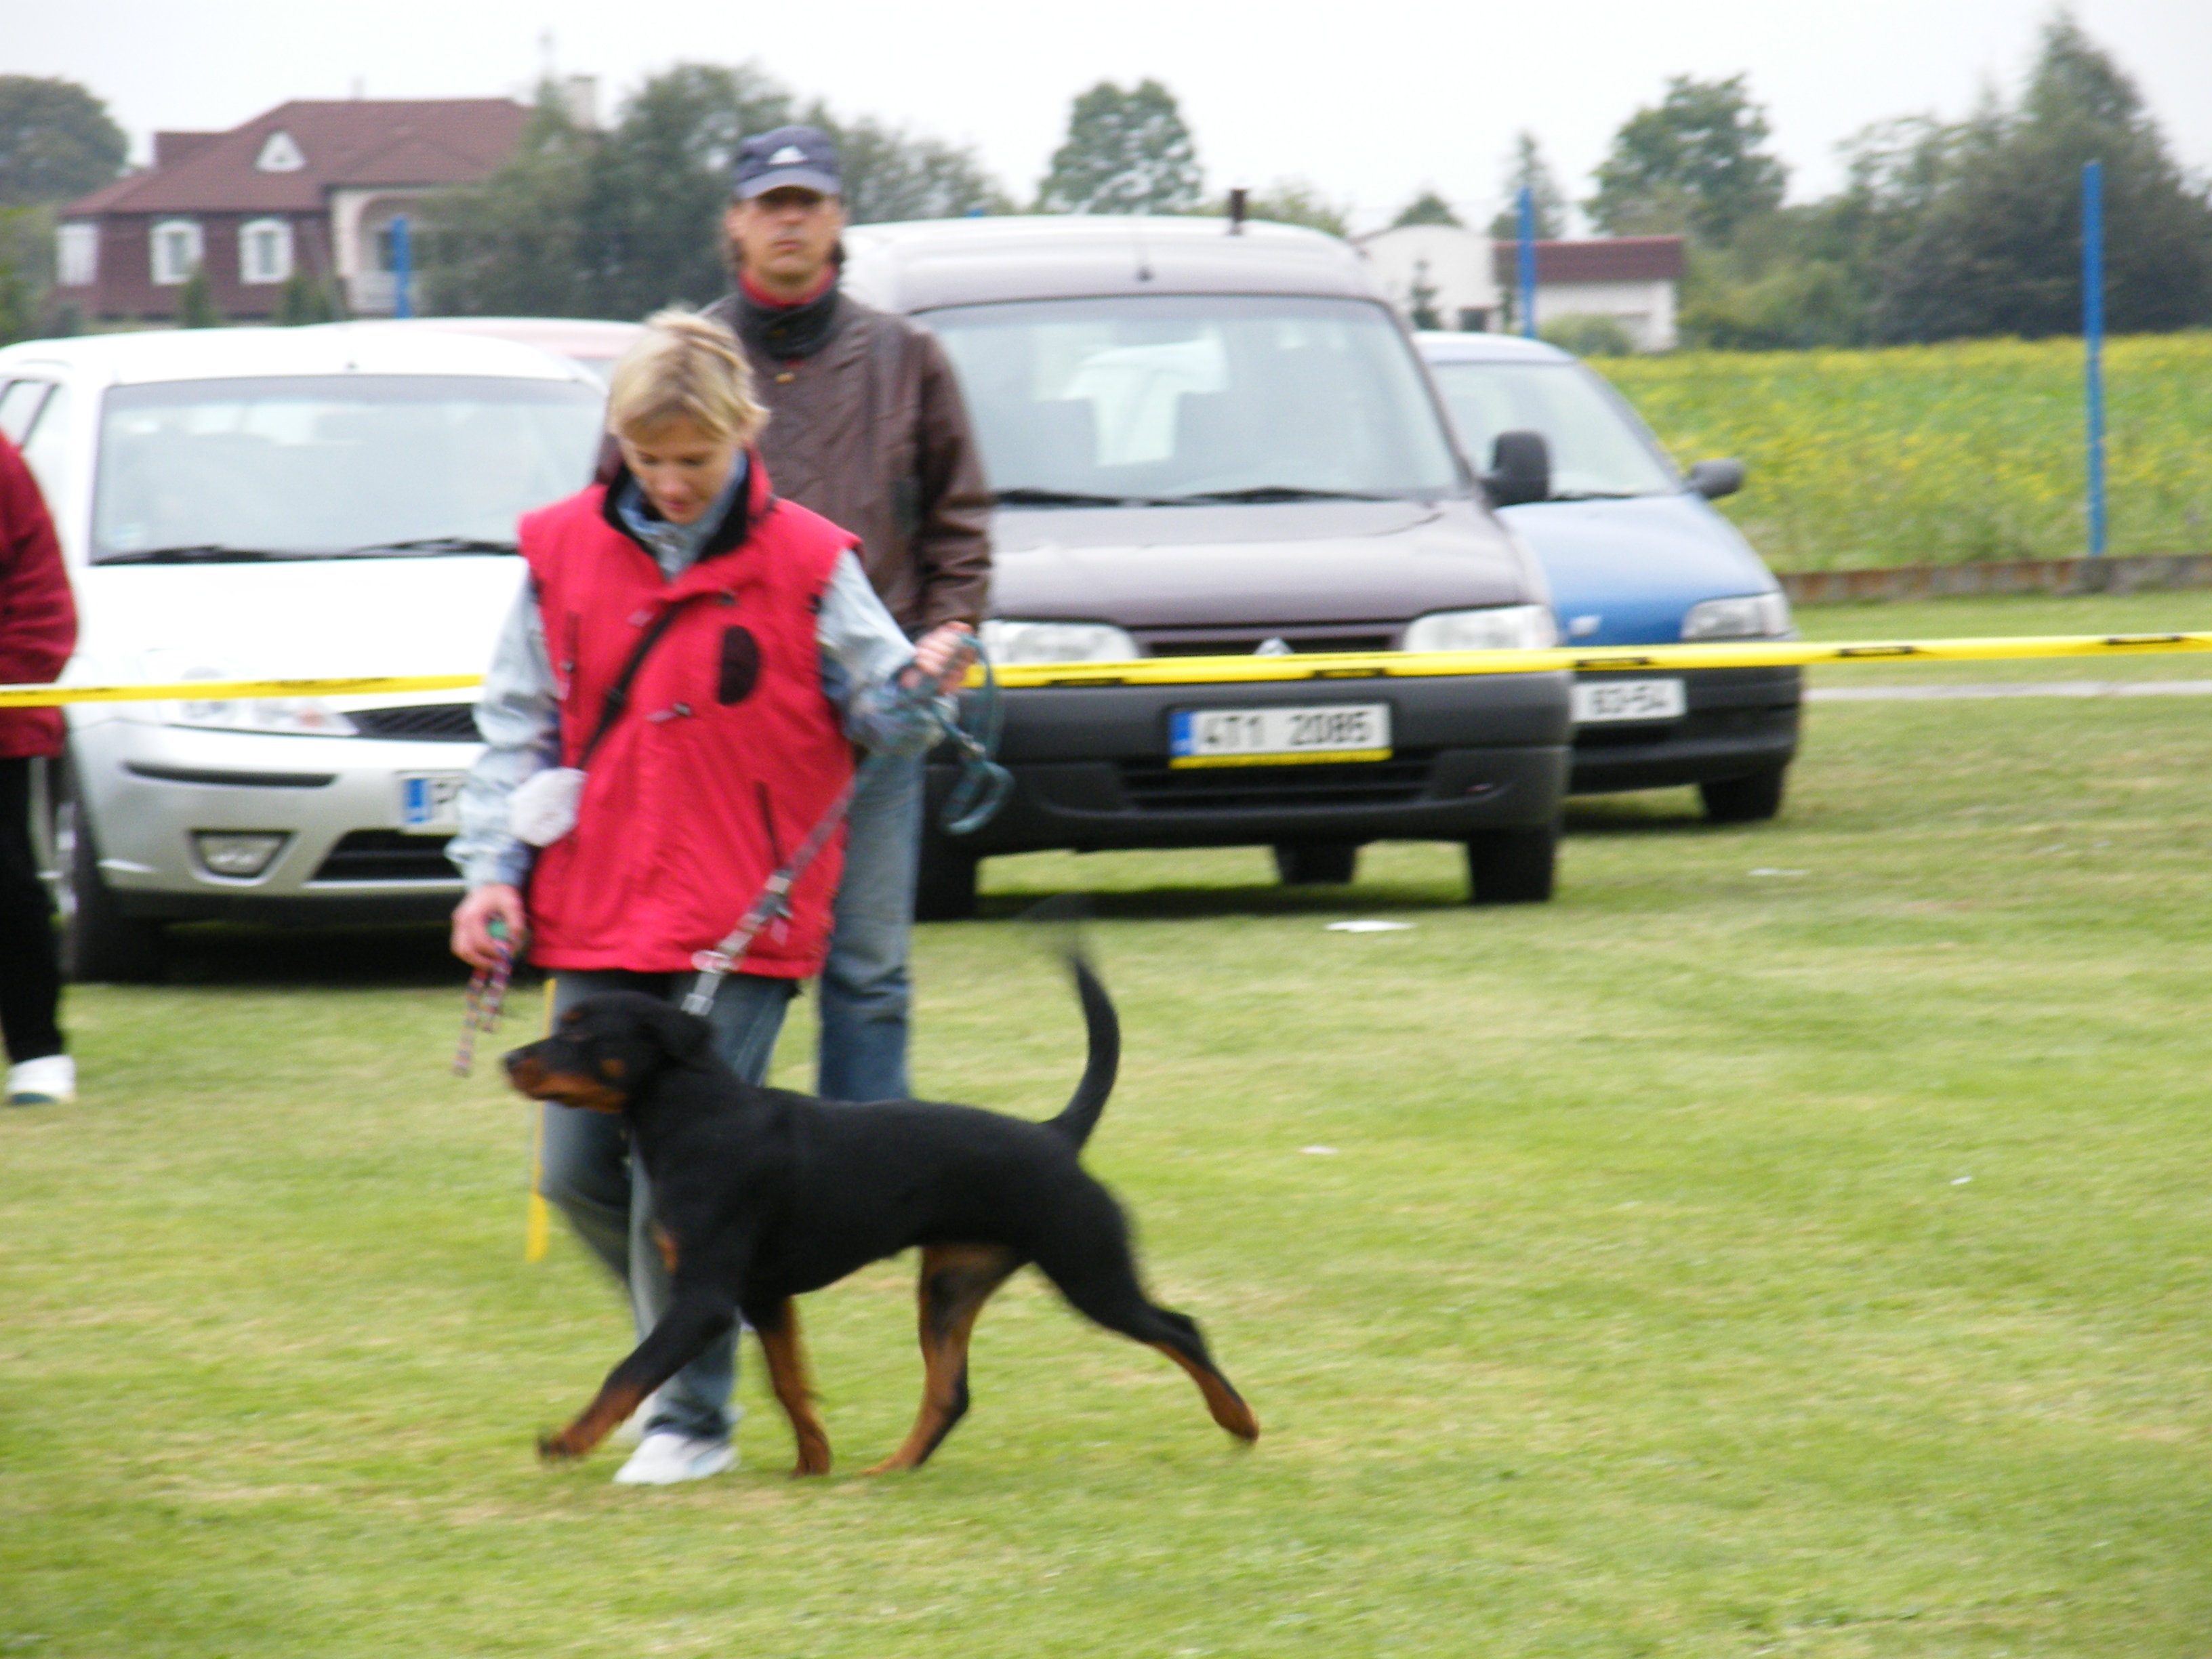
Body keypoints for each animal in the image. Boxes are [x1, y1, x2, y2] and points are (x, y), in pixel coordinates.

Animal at [506, 956, 1265, 1477]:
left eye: (583, 1033)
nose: (510, 1058)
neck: (697, 1114)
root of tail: (1057, 1135)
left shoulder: (705, 1300)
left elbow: (629, 1370)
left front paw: (567, 1440)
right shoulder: (764, 1295)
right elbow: (788, 1383)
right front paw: (814, 1463)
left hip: (1088, 1269)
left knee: (1181, 1328)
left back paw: (1240, 1421)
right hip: (952, 1285)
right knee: (951, 1392)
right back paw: (891, 1469)